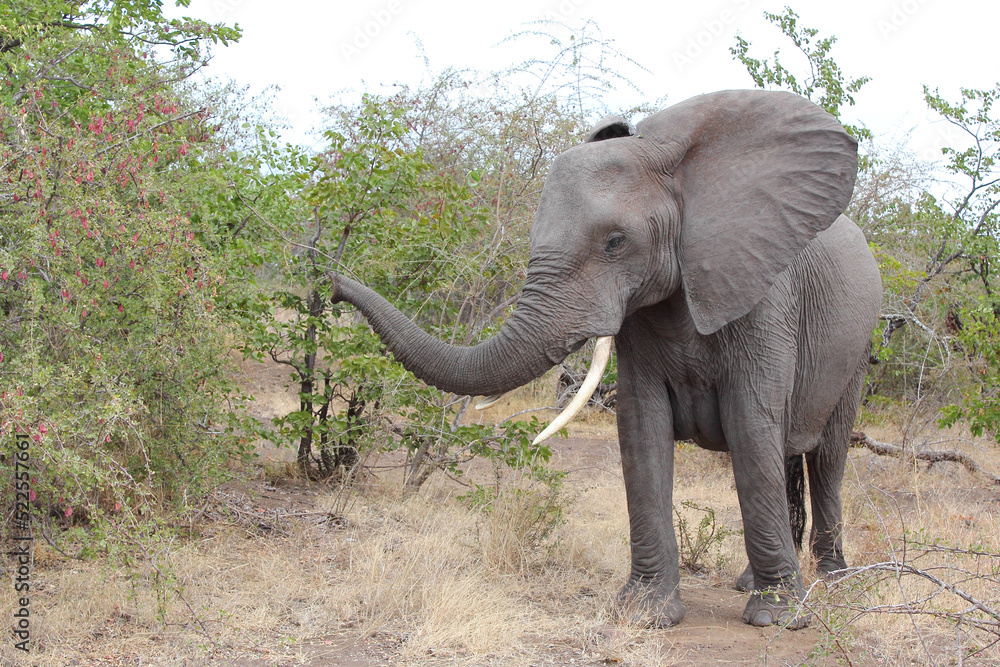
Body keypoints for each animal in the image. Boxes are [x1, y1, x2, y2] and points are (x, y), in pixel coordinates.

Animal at [328, 90, 882, 629]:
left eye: (616, 243)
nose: (330, 284)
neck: (677, 165)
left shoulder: (761, 294)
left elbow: (750, 425)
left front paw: (778, 618)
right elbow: (640, 430)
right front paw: (644, 614)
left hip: (858, 348)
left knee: (825, 458)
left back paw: (831, 581)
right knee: (787, 456)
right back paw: (752, 582)